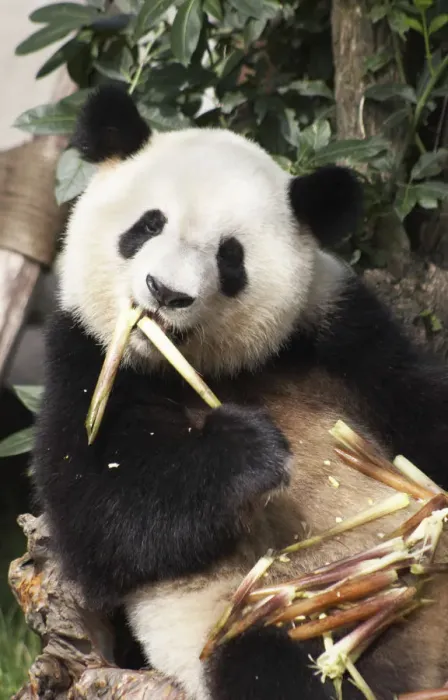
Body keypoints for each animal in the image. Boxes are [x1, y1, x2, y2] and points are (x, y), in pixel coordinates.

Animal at [32, 84, 448, 700]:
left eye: (230, 255)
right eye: (148, 225)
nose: (166, 292)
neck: (208, 367)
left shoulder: (336, 328)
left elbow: (418, 407)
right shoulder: (87, 353)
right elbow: (99, 512)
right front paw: (250, 450)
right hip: (271, 616)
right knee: (271, 664)